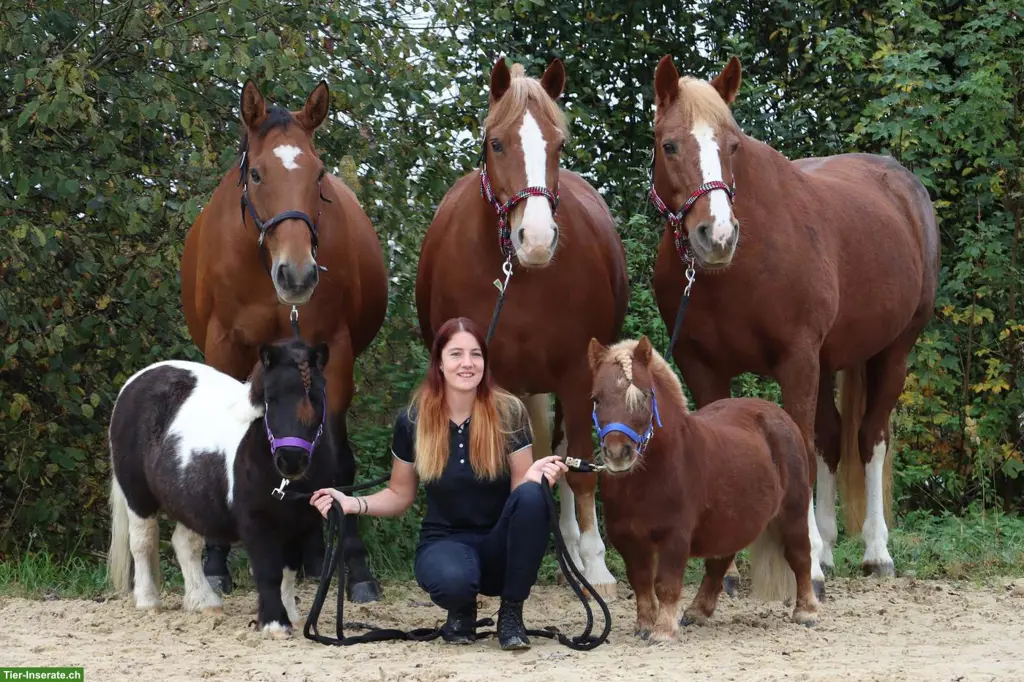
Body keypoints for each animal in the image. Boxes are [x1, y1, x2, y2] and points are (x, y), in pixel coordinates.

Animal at [107, 337, 336, 635]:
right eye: (270, 399)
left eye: (318, 397)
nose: (291, 460)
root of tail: (134, 381)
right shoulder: (256, 524)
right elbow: (268, 572)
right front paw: (274, 624)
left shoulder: (300, 524)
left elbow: (288, 572)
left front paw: (292, 617)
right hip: (137, 497)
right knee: (143, 541)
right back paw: (148, 601)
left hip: (191, 501)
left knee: (186, 545)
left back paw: (204, 602)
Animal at [180, 79, 388, 601]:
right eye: (256, 173)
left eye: (319, 175)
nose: (297, 276)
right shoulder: (225, 349)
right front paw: (215, 563)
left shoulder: (334, 356)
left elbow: (339, 460)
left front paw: (356, 566)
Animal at [415, 57, 629, 599]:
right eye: (496, 143)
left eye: (559, 144)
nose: (534, 238)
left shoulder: (576, 375)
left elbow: (579, 473)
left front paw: (595, 564)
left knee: (563, 460)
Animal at [588, 336, 820, 642]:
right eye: (596, 399)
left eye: (645, 396)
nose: (617, 453)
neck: (647, 479)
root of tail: (777, 412)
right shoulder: (627, 538)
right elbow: (641, 582)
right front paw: (644, 626)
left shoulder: (675, 535)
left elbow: (666, 583)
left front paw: (663, 632)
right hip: (730, 521)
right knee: (720, 562)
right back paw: (697, 612)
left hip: (793, 510)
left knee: (799, 555)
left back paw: (807, 612)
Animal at [648, 55, 940, 590]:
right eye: (669, 145)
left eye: (734, 145)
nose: (717, 236)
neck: (737, 269)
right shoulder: (703, 366)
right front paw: (728, 569)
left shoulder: (797, 359)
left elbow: (799, 443)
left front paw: (807, 565)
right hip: (829, 362)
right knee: (831, 437)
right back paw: (826, 546)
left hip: (893, 352)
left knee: (870, 437)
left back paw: (874, 551)